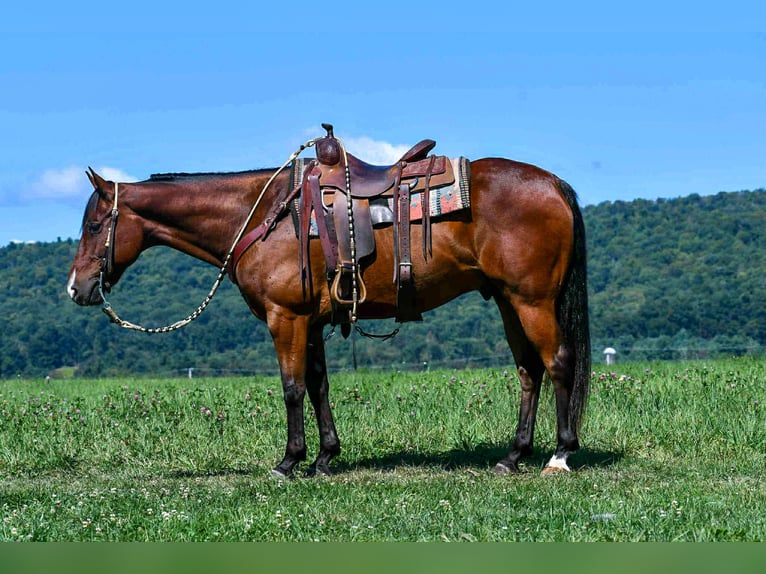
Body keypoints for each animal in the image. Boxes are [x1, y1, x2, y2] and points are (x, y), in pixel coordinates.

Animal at [67, 146, 591, 478]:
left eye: (94, 226)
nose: (77, 288)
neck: (262, 215)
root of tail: (553, 184)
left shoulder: (285, 317)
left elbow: (292, 388)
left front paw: (288, 462)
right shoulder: (312, 321)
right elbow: (319, 386)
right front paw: (324, 458)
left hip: (531, 300)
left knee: (557, 363)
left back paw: (560, 455)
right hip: (506, 300)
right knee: (528, 371)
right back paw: (512, 456)